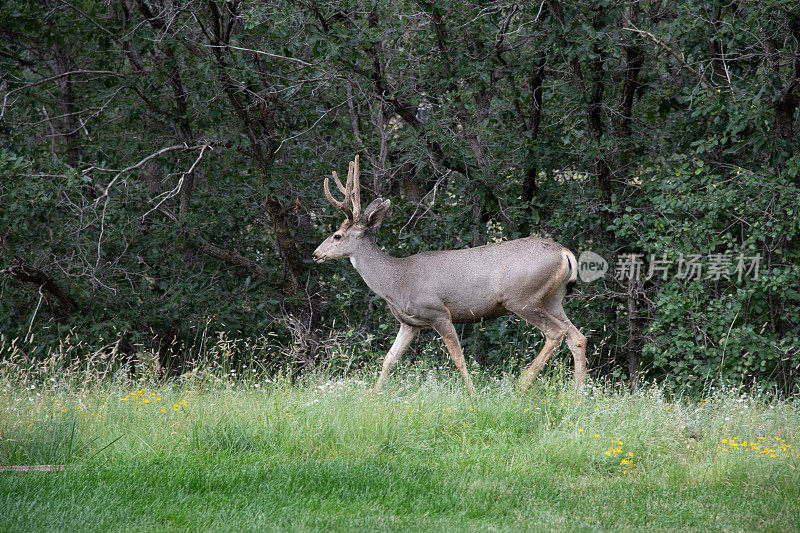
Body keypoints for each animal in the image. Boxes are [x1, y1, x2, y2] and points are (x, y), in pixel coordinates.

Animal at [312, 155, 588, 394]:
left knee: (556, 333)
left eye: (337, 235)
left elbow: (458, 357)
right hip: (552, 299)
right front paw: (372, 396)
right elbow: (389, 359)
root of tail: (564, 253)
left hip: (522, 298)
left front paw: (473, 394)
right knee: (577, 337)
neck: (396, 280)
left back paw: (522, 384)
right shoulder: (410, 322)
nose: (316, 254)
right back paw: (578, 394)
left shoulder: (438, 312)